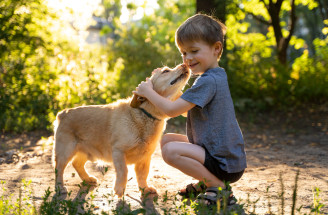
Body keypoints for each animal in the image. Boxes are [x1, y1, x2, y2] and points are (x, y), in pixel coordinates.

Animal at [52, 63, 191, 197]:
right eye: (165, 71)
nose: (185, 64)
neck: (145, 115)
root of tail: (63, 113)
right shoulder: (118, 151)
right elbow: (124, 171)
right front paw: (119, 189)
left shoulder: (145, 157)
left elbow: (143, 175)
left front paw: (144, 188)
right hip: (65, 152)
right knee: (59, 169)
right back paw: (60, 187)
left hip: (87, 151)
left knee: (77, 164)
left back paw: (88, 179)